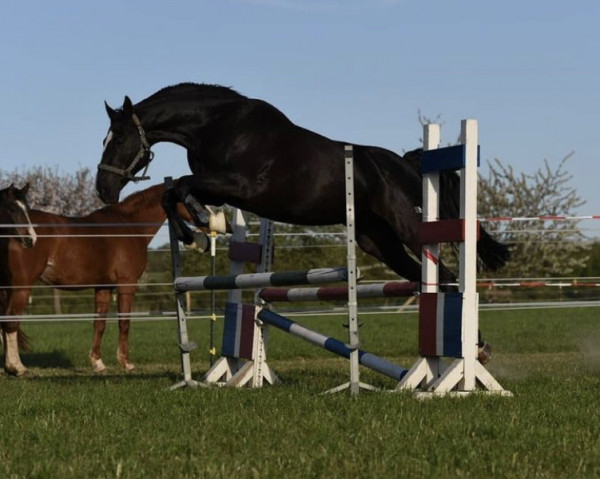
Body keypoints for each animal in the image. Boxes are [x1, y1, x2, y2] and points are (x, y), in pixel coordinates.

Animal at [0, 182, 195, 376]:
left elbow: (99, 323)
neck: (130, 226)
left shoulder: (104, 287)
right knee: (11, 322)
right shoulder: (127, 283)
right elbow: (124, 322)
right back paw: (17, 367)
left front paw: (98, 363)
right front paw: (126, 363)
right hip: (22, 286)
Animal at [96, 83, 508, 284]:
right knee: (427, 275)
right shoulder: (221, 185)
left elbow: (180, 187)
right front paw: (197, 230)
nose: (103, 189)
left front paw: (202, 226)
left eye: (119, 139)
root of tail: (404, 166)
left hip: (407, 225)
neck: (218, 125)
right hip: (376, 239)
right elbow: (172, 193)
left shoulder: (240, 186)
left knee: (446, 274)